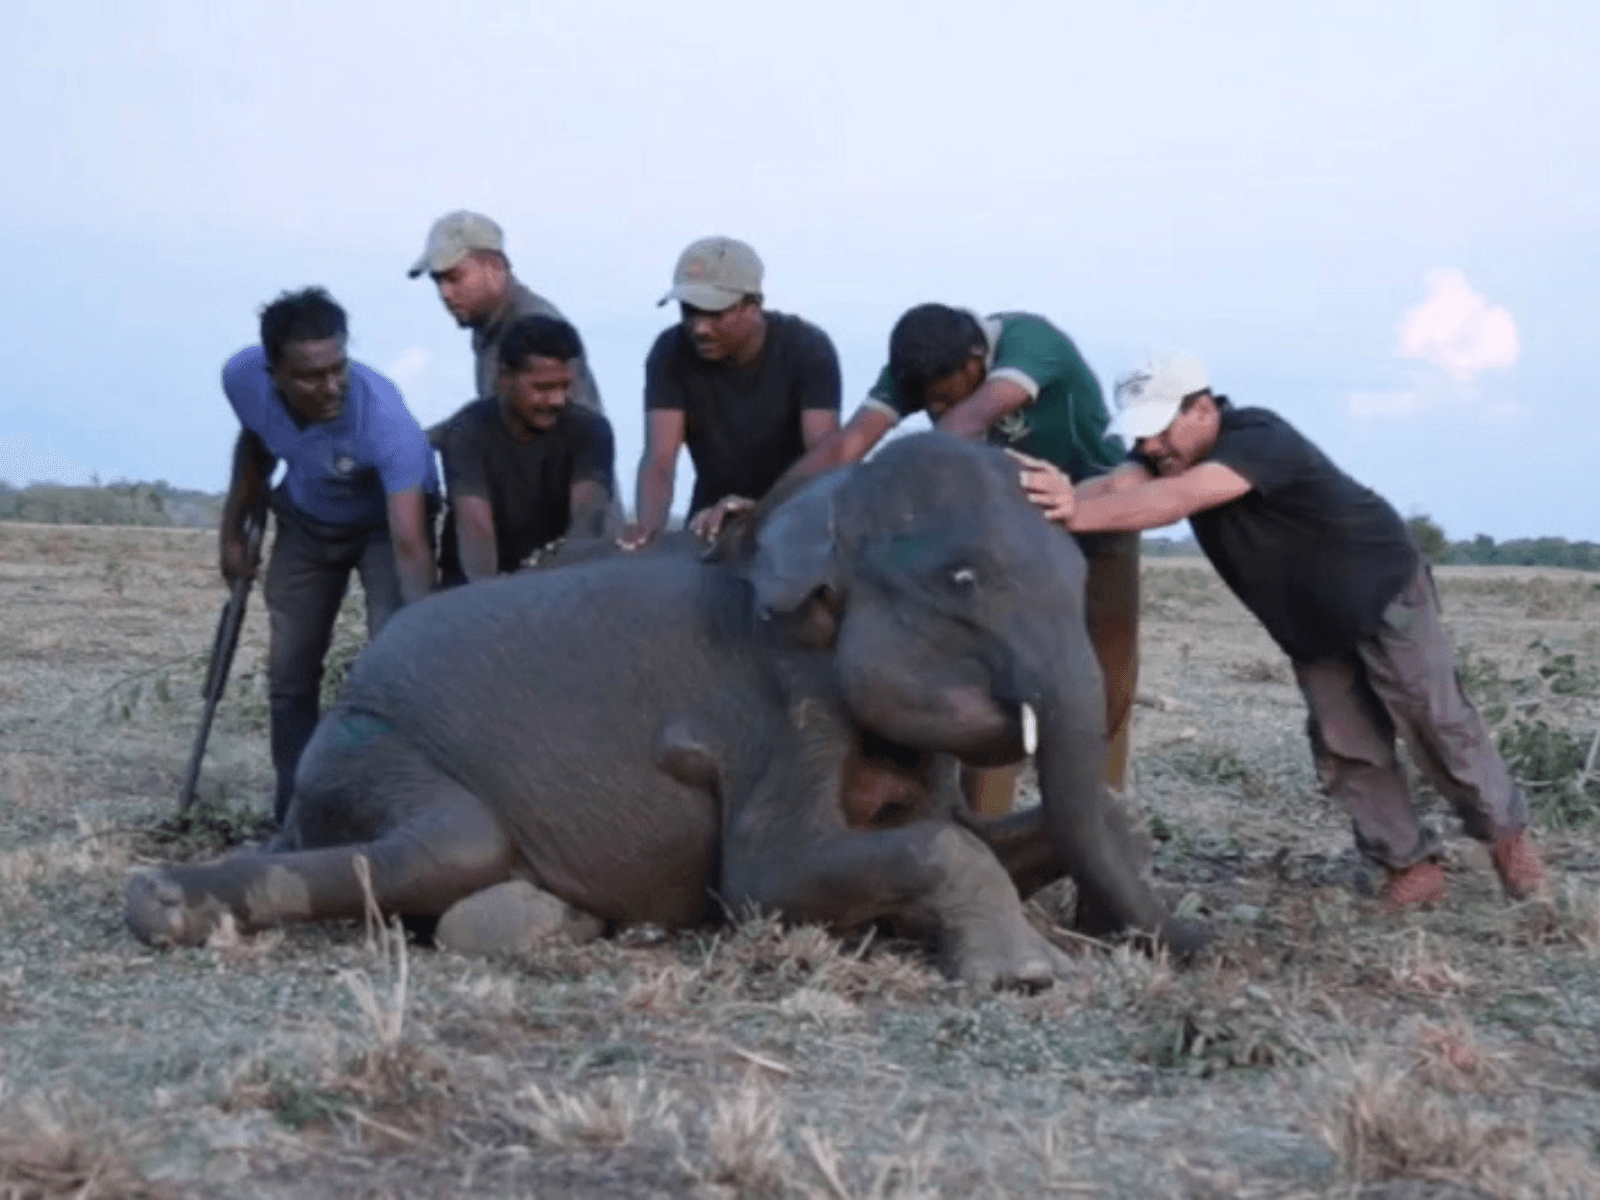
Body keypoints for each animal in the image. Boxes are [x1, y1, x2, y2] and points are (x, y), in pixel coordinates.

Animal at [127, 433, 1210, 986]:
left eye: (1075, 569)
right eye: (962, 580)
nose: (1201, 947)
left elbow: (999, 828)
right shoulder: (775, 704)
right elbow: (769, 878)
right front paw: (1026, 977)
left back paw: (559, 920)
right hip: (367, 745)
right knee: (449, 847)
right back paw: (168, 905)